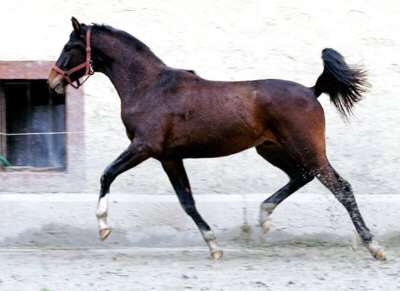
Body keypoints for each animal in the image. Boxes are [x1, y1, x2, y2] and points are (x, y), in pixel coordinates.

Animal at [48, 17, 386, 262]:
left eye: (68, 46)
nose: (52, 81)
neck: (148, 86)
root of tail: (311, 90)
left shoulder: (144, 147)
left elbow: (107, 174)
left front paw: (103, 226)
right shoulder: (169, 156)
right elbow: (186, 201)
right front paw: (213, 245)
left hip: (306, 148)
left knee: (341, 188)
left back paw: (374, 246)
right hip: (272, 149)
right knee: (301, 177)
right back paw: (264, 215)